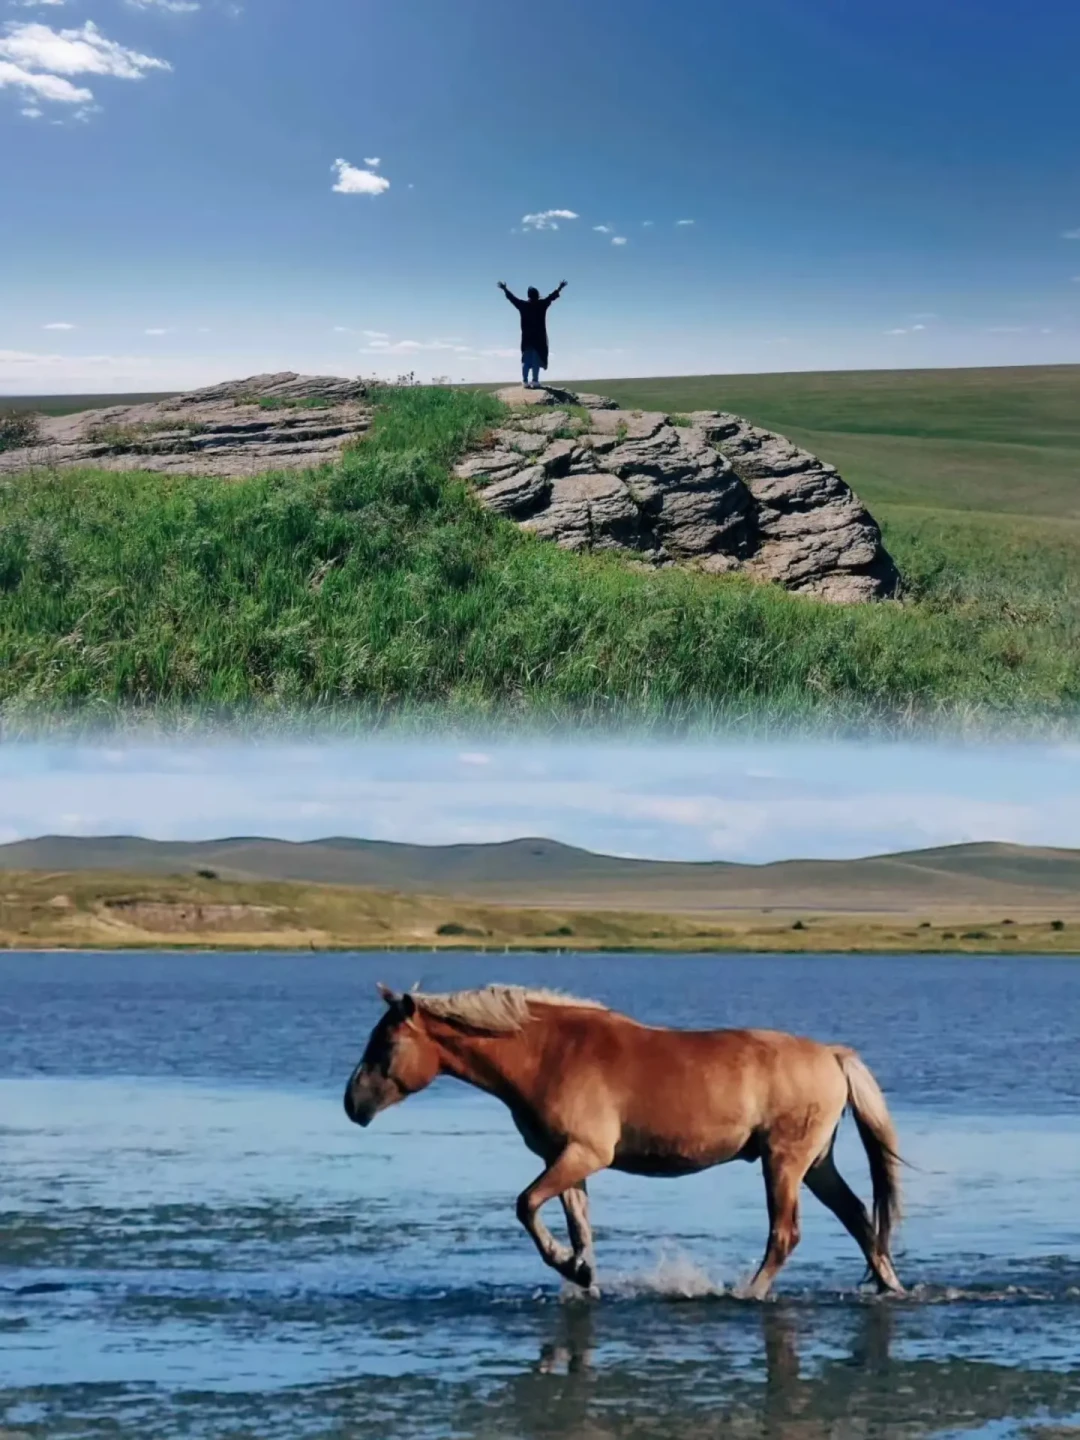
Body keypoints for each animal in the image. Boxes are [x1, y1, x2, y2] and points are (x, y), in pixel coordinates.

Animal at [343, 983, 904, 1298]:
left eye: (386, 1042)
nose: (353, 1104)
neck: (548, 1054)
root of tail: (832, 1055)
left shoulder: (585, 1153)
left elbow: (526, 1204)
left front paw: (569, 1265)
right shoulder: (566, 1160)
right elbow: (578, 1226)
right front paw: (581, 1274)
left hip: (784, 1162)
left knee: (785, 1235)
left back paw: (748, 1294)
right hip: (815, 1164)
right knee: (860, 1219)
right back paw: (890, 1286)